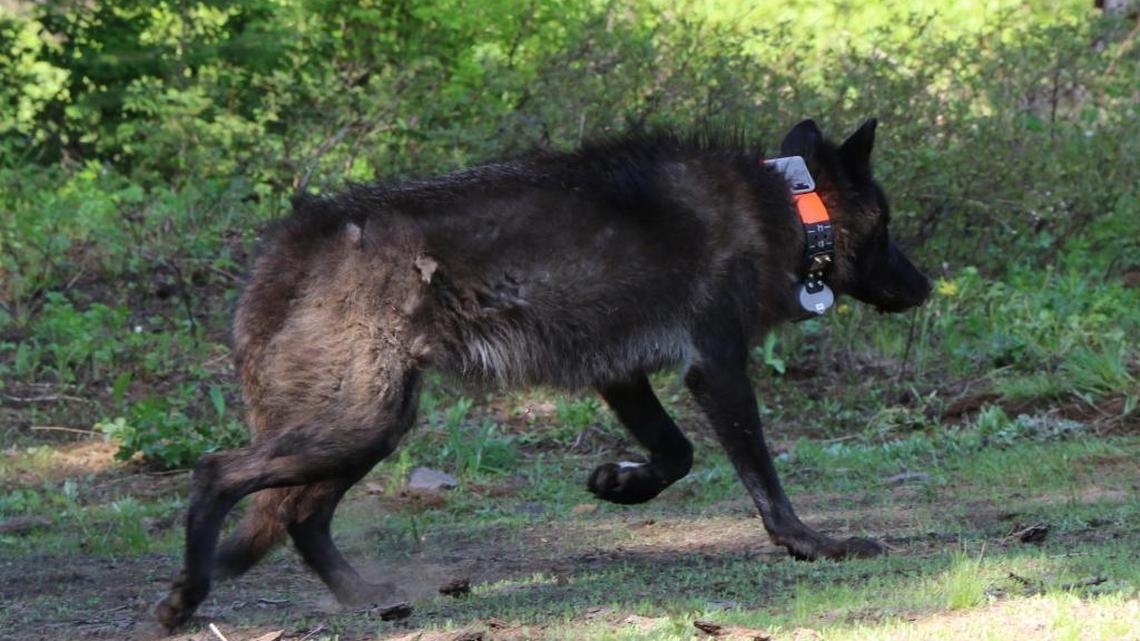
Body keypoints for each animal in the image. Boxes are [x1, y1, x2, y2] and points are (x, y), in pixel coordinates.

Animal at [156, 118, 932, 629]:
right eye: (891, 227)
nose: (926, 286)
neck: (790, 206)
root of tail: (291, 241)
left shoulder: (622, 374)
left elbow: (676, 454)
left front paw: (619, 484)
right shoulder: (716, 370)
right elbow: (764, 483)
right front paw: (813, 545)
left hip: (372, 426)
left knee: (300, 515)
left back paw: (366, 597)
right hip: (360, 425)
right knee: (218, 473)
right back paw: (188, 595)